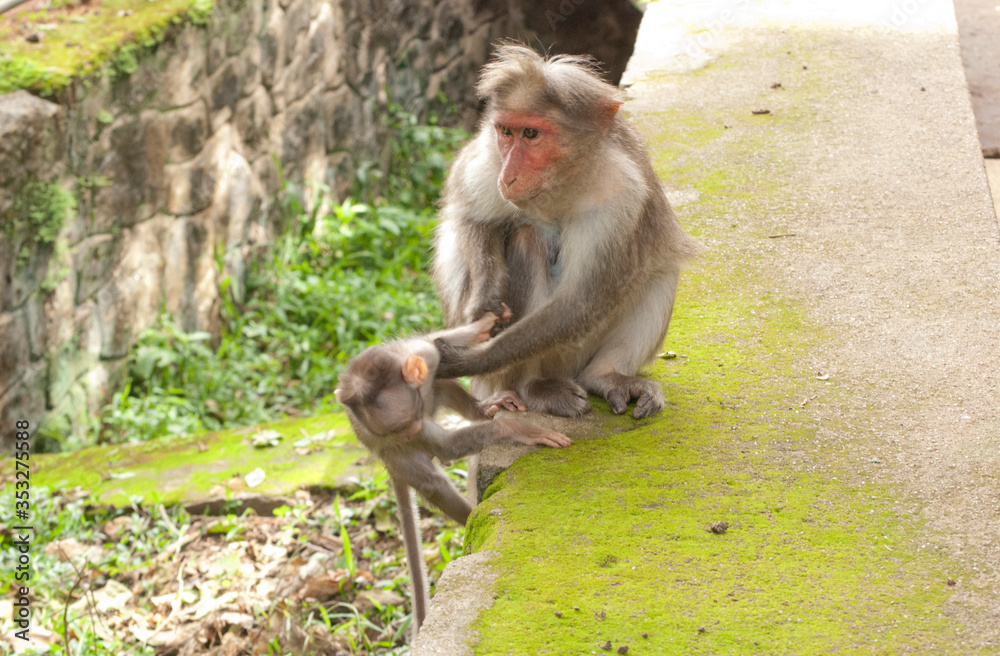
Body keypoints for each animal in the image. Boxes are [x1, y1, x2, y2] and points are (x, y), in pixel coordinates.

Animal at [334, 309, 572, 635]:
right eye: (399, 430)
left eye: (406, 424)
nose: (411, 434)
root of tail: (387, 460)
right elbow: (448, 448)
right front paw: (516, 430)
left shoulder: (422, 357)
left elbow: (436, 342)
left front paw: (482, 327)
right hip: (398, 455)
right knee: (434, 481)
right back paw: (472, 516)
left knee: (441, 386)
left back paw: (480, 410)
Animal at [431, 42, 700, 420]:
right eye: (506, 132)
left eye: (531, 134)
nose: (508, 176)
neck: (561, 183)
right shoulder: (487, 157)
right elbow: (471, 218)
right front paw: (485, 298)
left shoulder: (621, 194)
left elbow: (580, 302)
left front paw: (467, 360)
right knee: (525, 239)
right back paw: (531, 388)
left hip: (575, 355)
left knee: (659, 272)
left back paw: (604, 376)